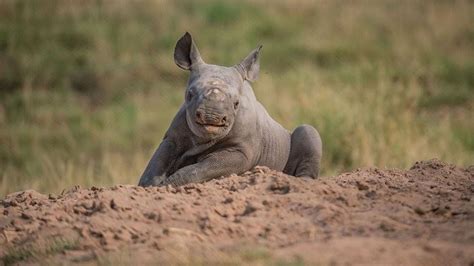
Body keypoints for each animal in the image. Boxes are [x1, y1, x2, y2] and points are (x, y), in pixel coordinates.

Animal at [137, 32, 322, 187]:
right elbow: (158, 161)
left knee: (308, 131)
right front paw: (150, 186)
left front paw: (168, 185)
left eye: (236, 103)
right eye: (189, 94)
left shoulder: (242, 151)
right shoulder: (173, 136)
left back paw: (302, 182)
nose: (212, 117)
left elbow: (204, 167)